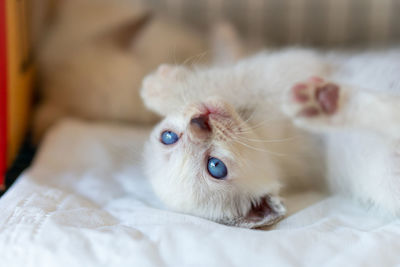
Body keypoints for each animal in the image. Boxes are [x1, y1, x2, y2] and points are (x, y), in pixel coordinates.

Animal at [141, 47, 400, 228]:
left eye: (168, 137)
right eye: (216, 167)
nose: (198, 123)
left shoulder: (289, 70)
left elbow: (237, 80)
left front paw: (157, 87)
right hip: (386, 179)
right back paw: (325, 103)